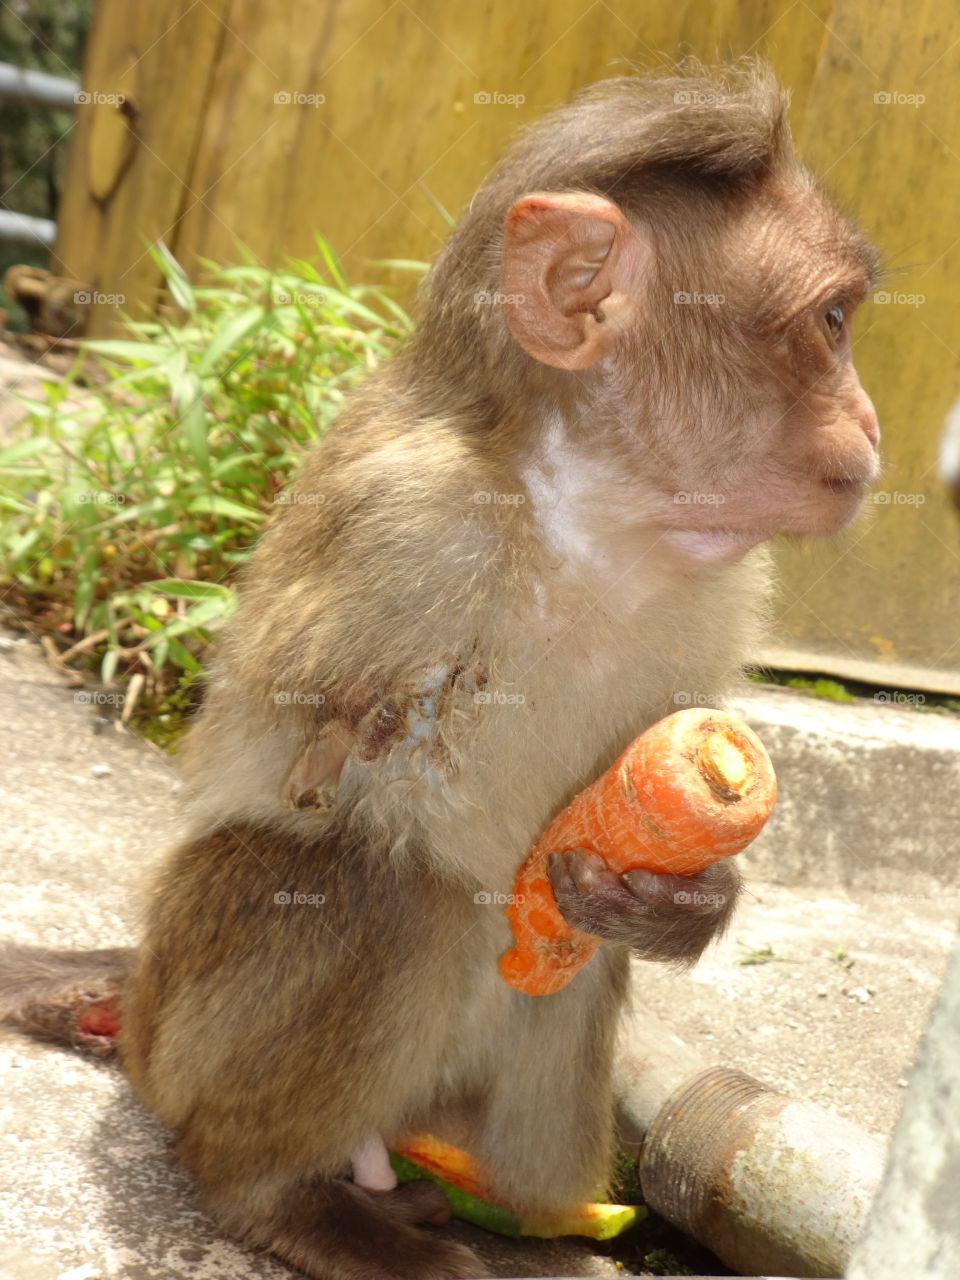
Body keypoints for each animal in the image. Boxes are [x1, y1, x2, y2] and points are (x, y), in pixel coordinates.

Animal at [1, 60, 880, 1280]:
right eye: (831, 323)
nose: (873, 420)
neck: (591, 511)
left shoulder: (724, 586)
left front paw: (686, 899)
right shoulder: (407, 517)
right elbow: (318, 772)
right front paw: (366, 737)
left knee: (571, 965)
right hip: (190, 1028)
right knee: (386, 889)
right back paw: (275, 1193)